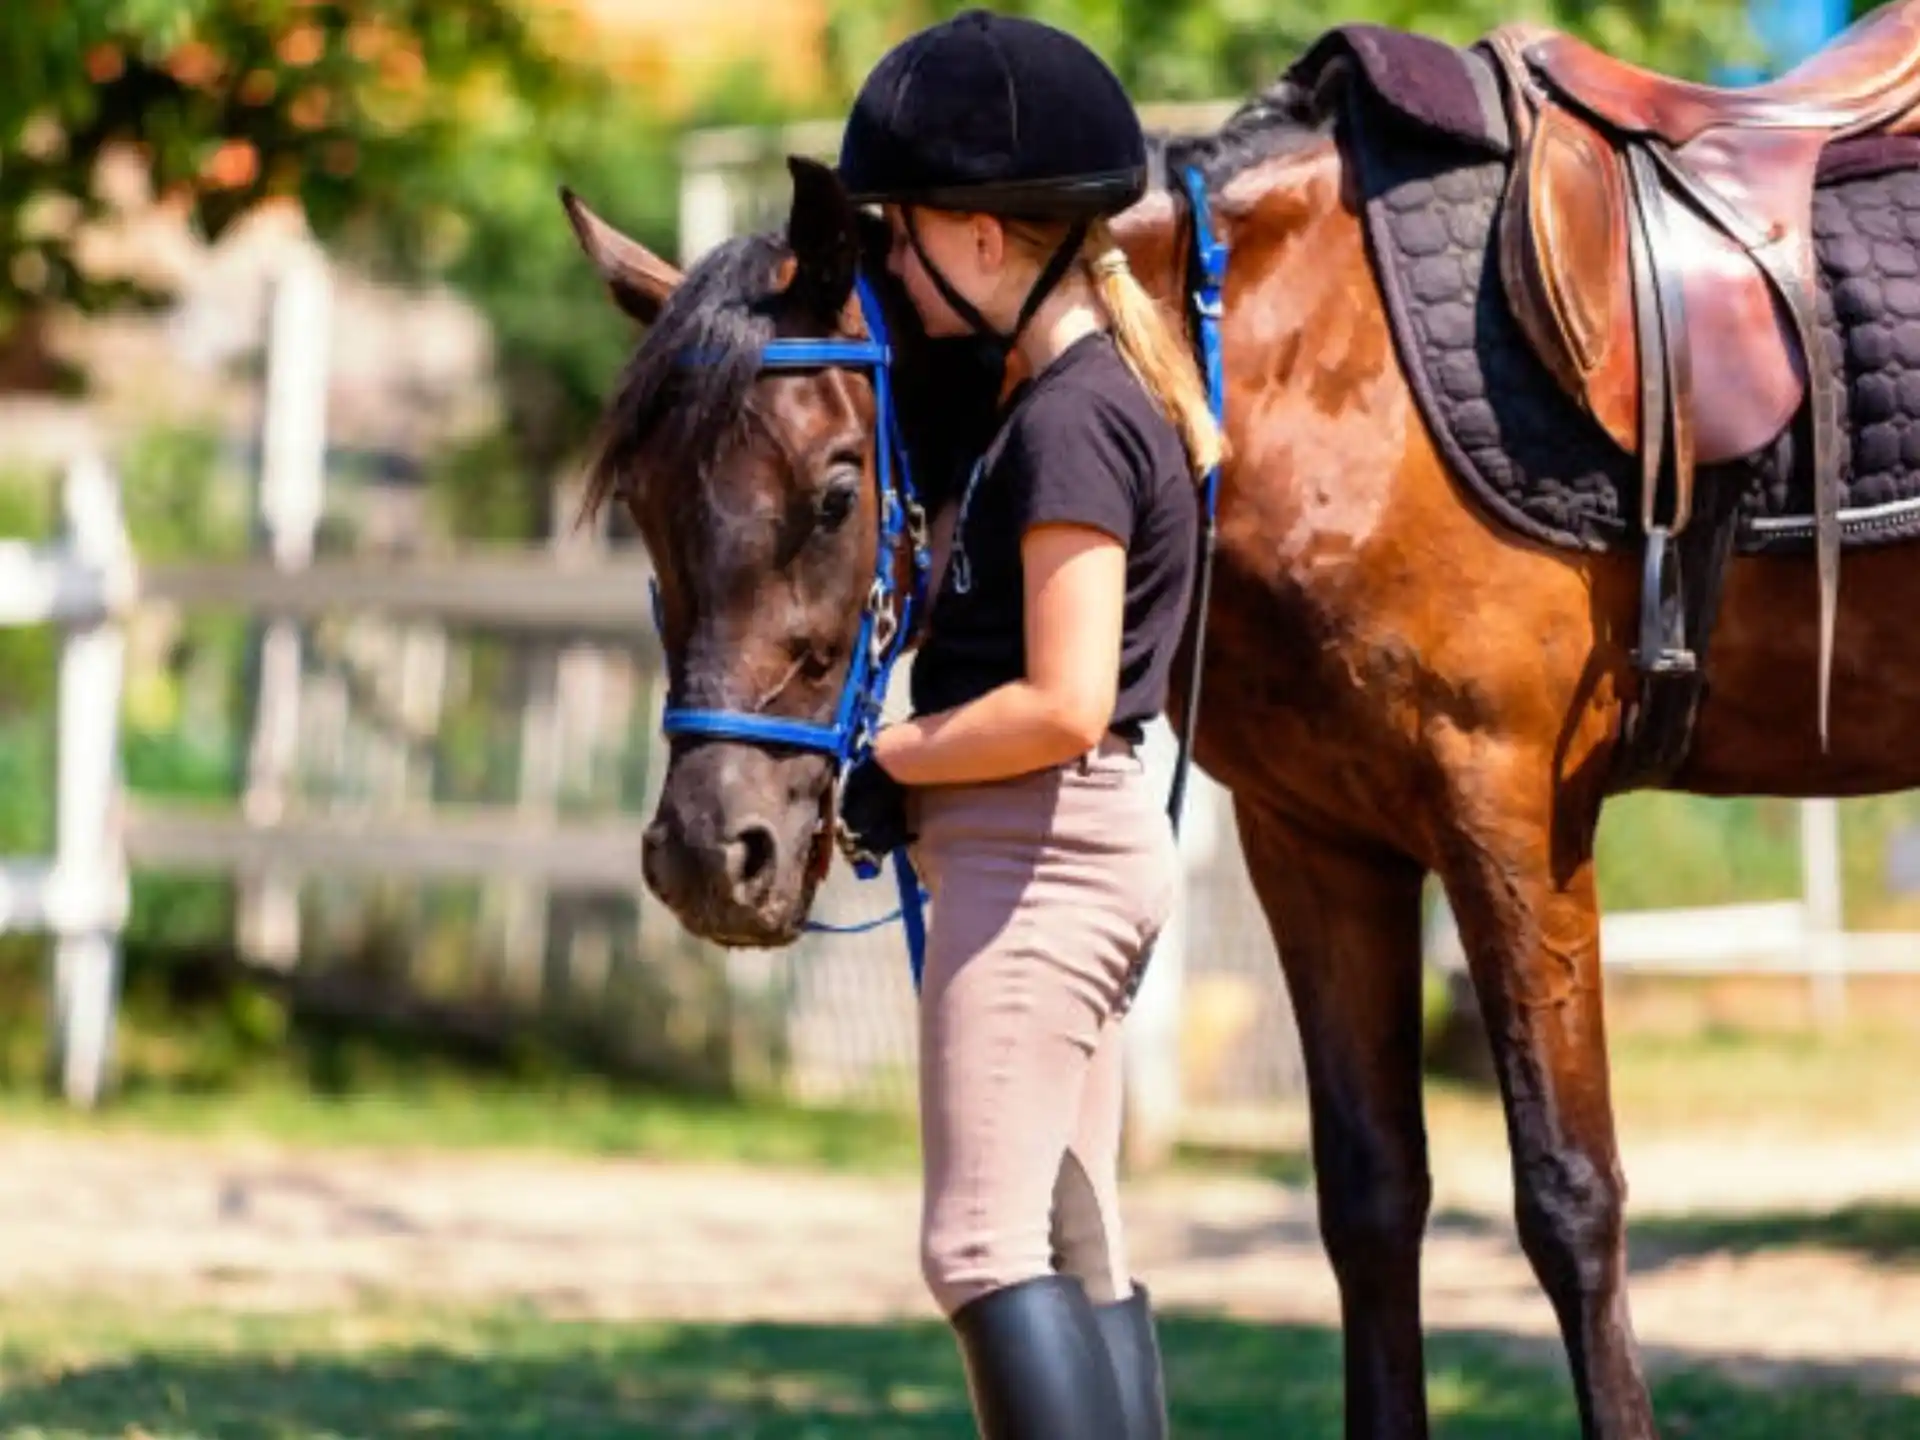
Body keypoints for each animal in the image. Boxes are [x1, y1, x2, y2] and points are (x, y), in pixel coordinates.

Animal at [562, 8, 1920, 1436]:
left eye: (834, 493)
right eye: (643, 509)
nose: (710, 854)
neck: (1308, 373)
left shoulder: (1510, 822)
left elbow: (1570, 1200)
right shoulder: (1318, 838)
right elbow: (1370, 1199)